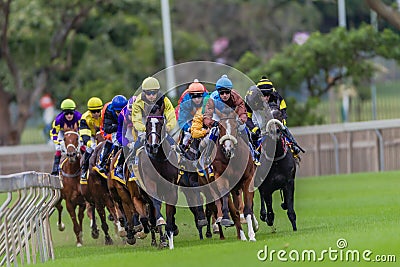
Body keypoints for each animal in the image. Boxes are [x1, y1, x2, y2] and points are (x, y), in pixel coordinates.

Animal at [256, 103, 296, 233]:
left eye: (279, 114)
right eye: (266, 115)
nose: (275, 131)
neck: (276, 160)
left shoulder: (289, 182)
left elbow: (290, 208)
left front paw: (294, 227)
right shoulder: (266, 187)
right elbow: (269, 211)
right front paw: (267, 218)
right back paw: (263, 215)